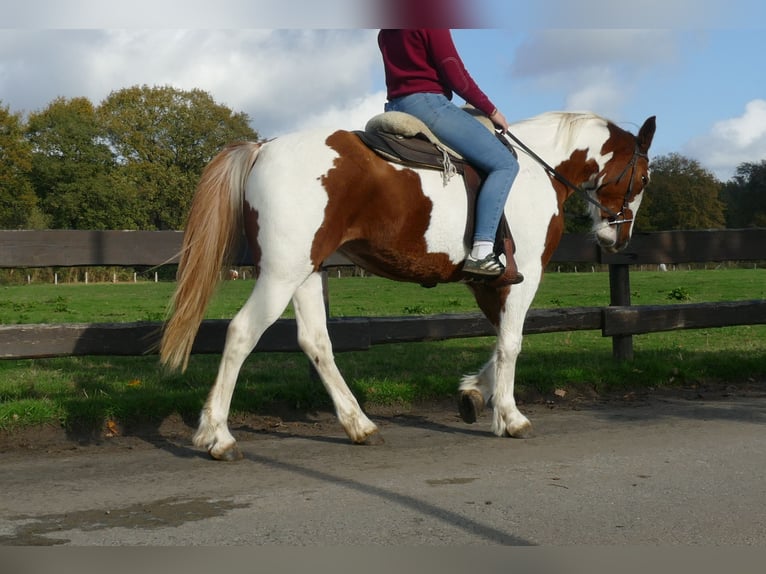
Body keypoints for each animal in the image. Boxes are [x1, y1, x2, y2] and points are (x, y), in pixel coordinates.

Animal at [159, 110, 656, 464]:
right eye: (644, 178)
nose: (618, 240)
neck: (537, 171)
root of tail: (262, 148)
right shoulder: (525, 276)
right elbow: (512, 343)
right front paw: (509, 416)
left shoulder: (489, 282)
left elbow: (501, 340)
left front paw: (474, 394)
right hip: (280, 274)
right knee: (242, 334)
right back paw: (218, 436)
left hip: (305, 272)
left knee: (316, 342)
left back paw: (359, 425)